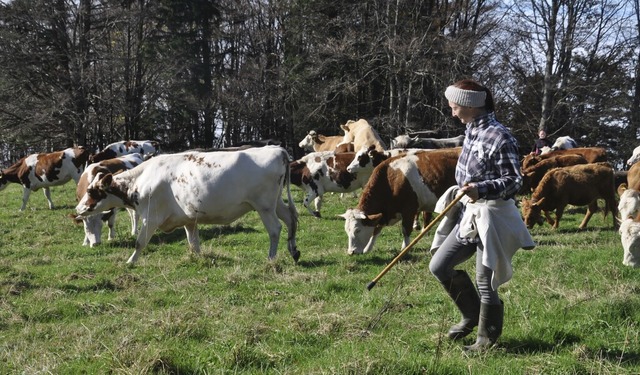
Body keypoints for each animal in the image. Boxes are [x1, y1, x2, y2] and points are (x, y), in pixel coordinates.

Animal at [76, 145, 302, 266]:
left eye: (92, 191)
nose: (78, 209)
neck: (143, 179)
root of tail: (276, 149)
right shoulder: (189, 219)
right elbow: (194, 243)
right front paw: (199, 259)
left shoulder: (151, 216)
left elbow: (140, 242)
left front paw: (130, 261)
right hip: (276, 203)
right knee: (290, 219)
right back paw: (293, 251)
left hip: (264, 206)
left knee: (275, 229)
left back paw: (271, 258)